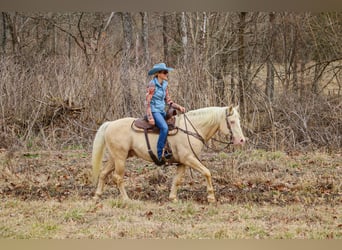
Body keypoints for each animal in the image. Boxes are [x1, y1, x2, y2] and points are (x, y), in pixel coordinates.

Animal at [91, 105, 246, 203]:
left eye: (239, 120)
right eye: (232, 121)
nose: (242, 140)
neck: (191, 129)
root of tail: (110, 124)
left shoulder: (183, 162)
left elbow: (177, 180)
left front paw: (173, 198)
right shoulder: (190, 159)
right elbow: (207, 172)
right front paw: (211, 198)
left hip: (116, 158)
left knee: (103, 173)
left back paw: (97, 196)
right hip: (120, 158)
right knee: (118, 177)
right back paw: (126, 199)